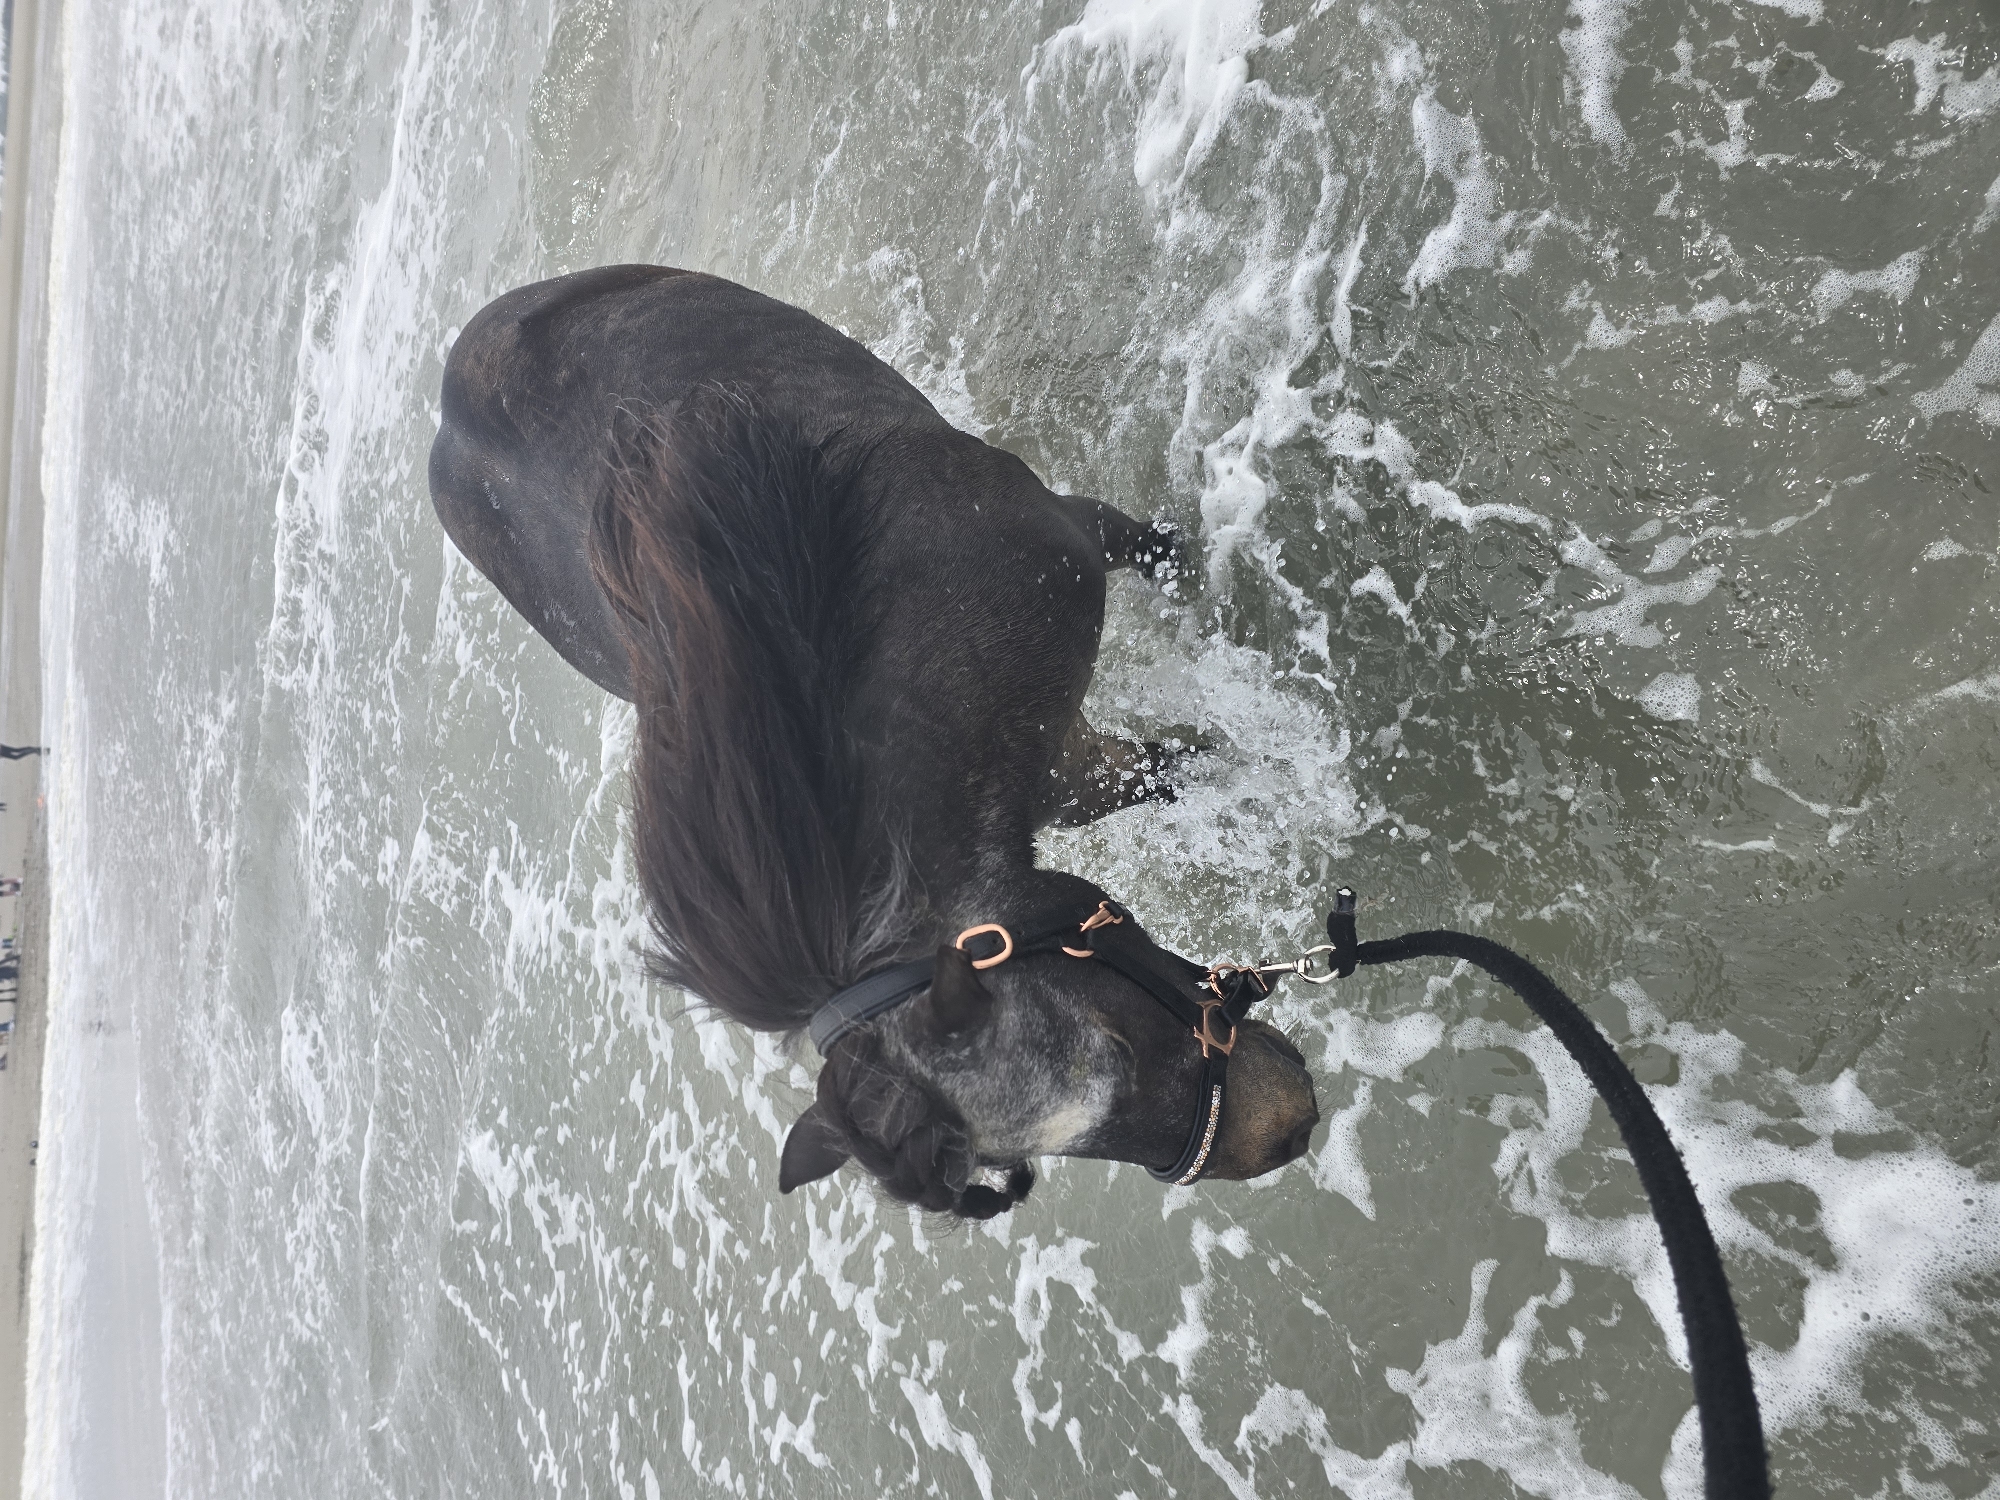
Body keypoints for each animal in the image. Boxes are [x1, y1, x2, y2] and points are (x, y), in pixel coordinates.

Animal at [429, 265, 1319, 1219]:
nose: (1290, 1129)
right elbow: (1169, 771)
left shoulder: (1078, 551)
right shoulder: (1064, 769)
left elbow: (1171, 596)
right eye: (1018, 1159)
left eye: (1114, 1044)